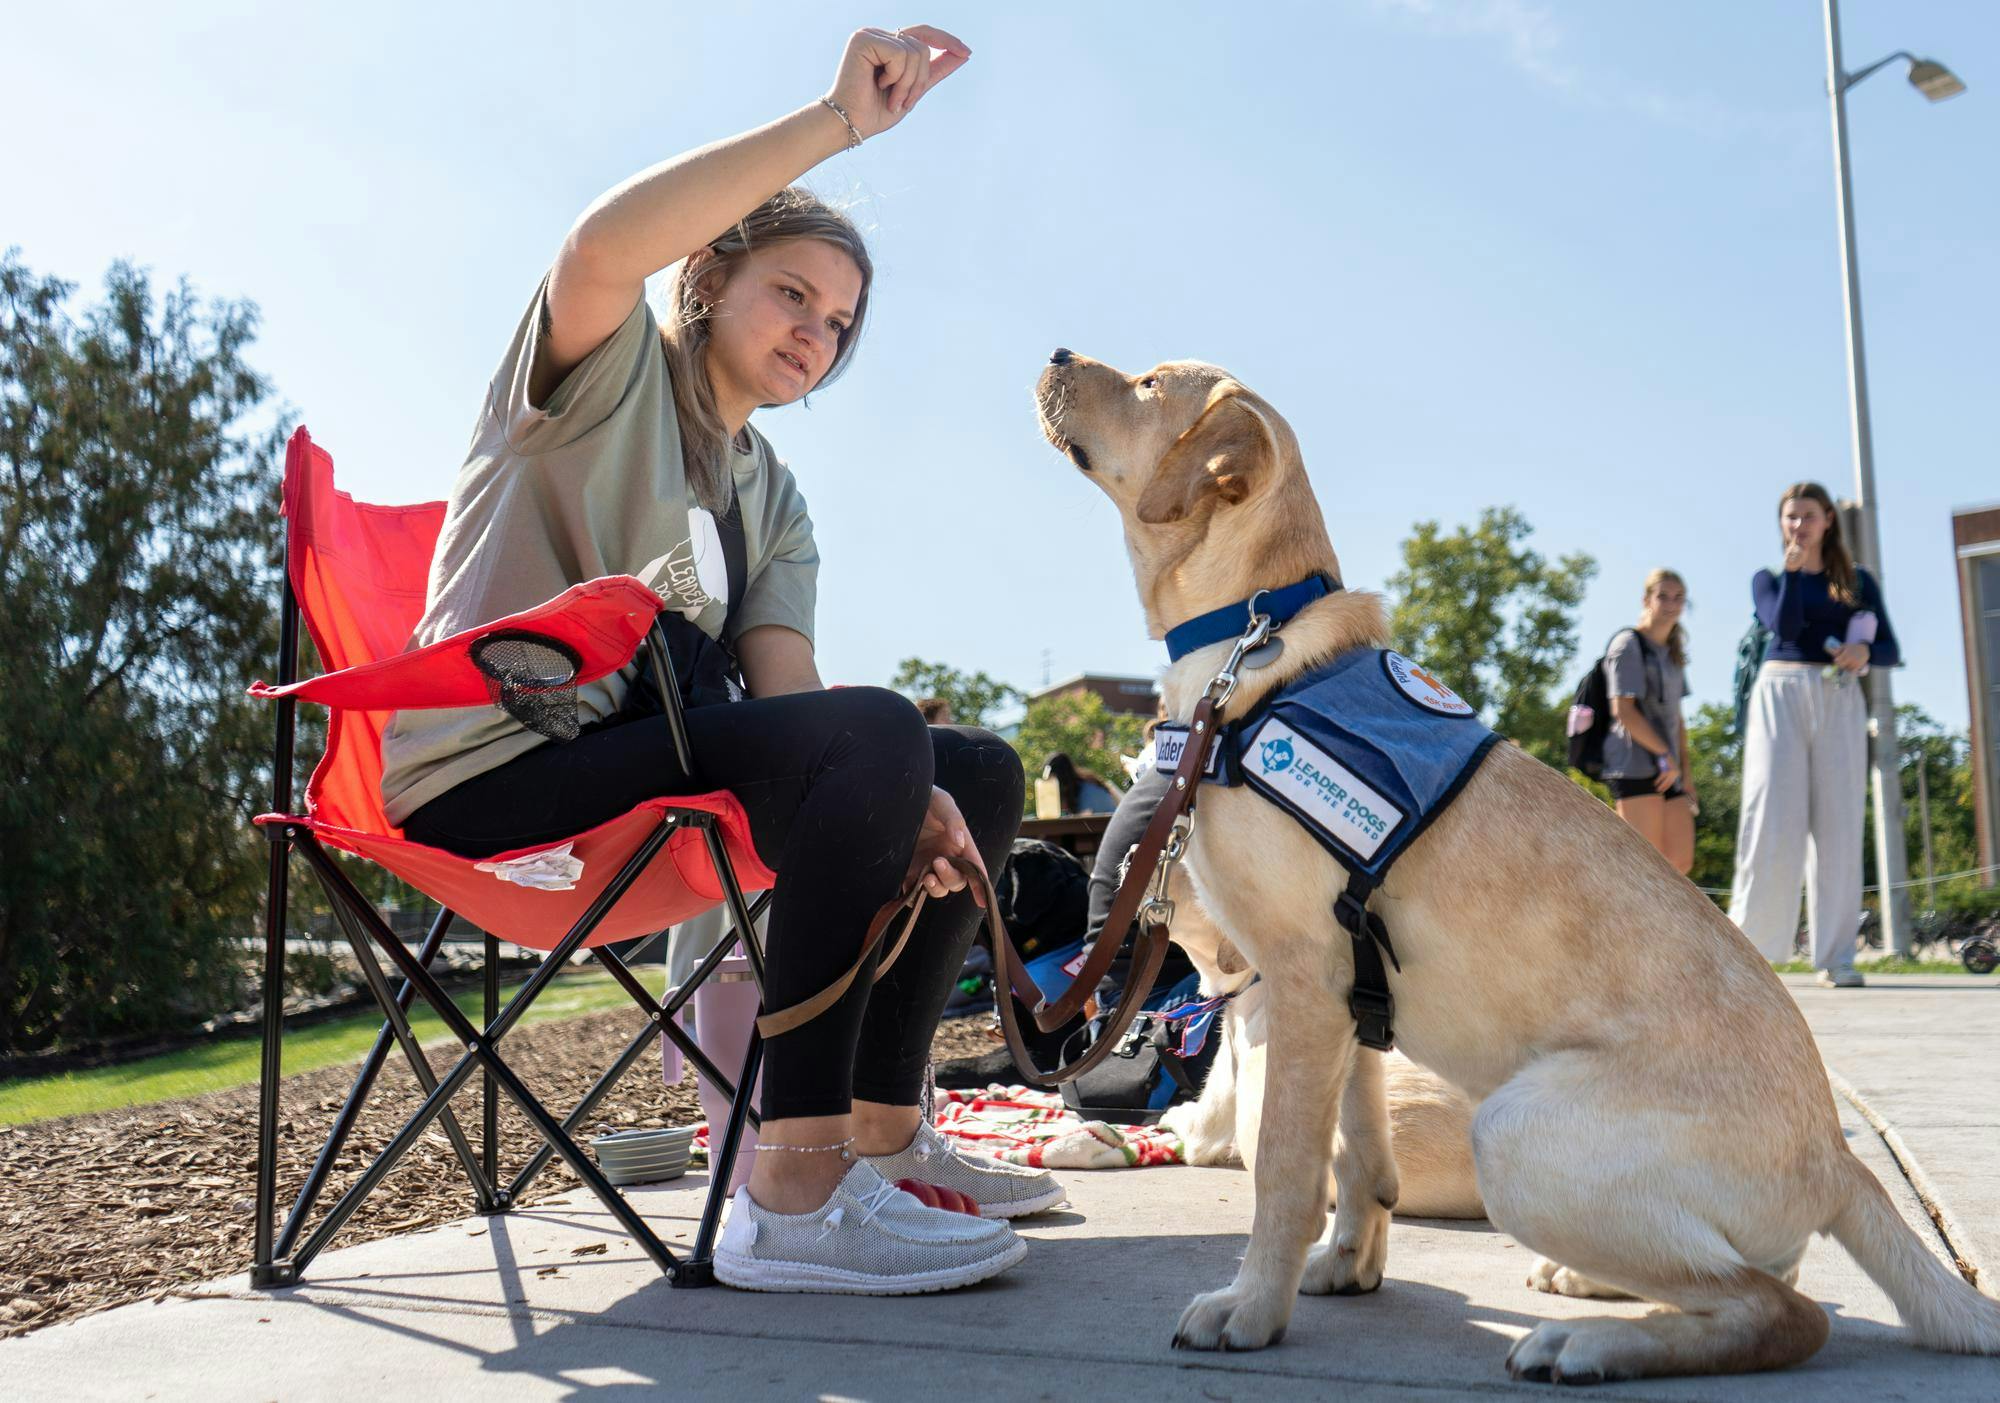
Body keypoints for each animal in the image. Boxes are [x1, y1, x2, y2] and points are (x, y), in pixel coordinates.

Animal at [1032, 349, 2000, 1383]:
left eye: (1147, 383)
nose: (1056, 354)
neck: (1256, 642)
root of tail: (1839, 1153)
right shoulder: (1352, 1001)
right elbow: (1358, 1155)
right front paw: (1347, 1264)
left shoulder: (1299, 983)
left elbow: (1287, 1170)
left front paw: (1254, 1307)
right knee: (1747, 1274)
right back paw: (1590, 1288)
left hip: (1515, 1131)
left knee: (1785, 1309)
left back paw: (1590, 1342)